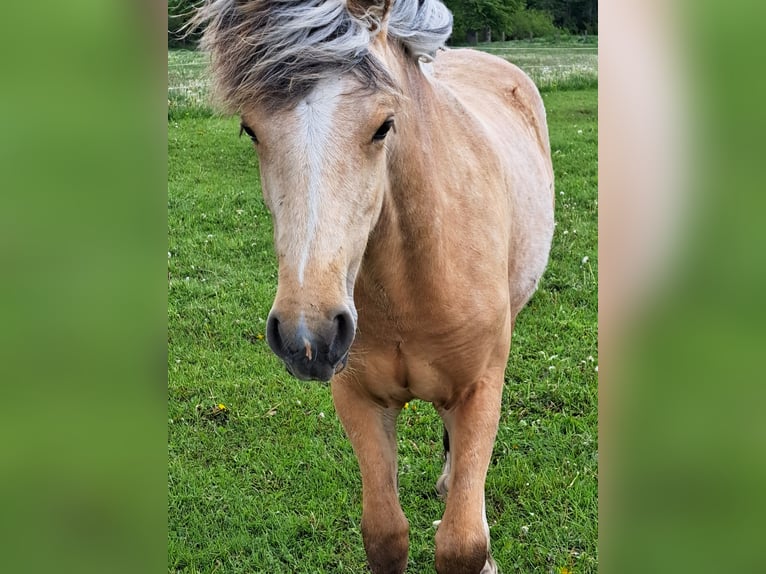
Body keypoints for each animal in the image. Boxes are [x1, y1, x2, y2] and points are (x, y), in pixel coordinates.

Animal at [194, 0, 554, 571]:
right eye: (250, 129)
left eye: (384, 125)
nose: (308, 336)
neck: (413, 284)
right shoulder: (358, 397)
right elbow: (385, 534)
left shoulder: (479, 390)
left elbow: (463, 542)